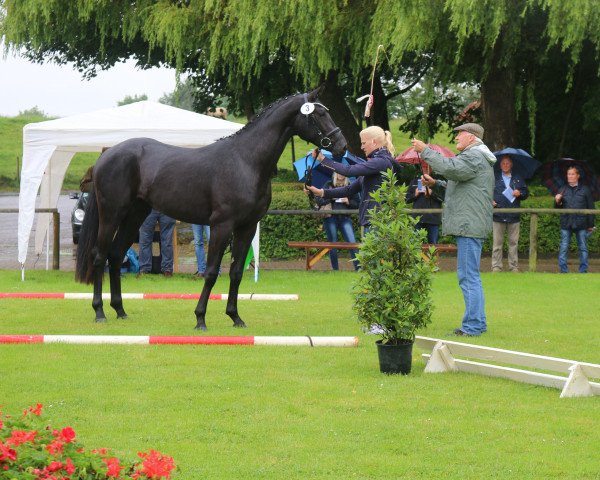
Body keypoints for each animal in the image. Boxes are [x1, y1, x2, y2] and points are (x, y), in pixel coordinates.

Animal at [76, 88, 346, 330]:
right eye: (319, 114)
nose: (342, 146)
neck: (245, 161)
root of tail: (106, 155)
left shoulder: (247, 227)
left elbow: (236, 272)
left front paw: (235, 317)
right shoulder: (221, 226)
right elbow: (212, 272)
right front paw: (200, 319)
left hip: (135, 215)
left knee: (115, 255)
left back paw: (120, 310)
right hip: (112, 214)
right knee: (99, 256)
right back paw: (100, 312)